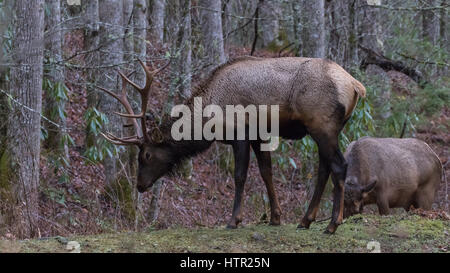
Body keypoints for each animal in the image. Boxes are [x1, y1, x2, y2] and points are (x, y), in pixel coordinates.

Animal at [100, 56, 368, 233]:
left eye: (146, 155)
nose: (140, 185)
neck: (209, 119)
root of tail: (356, 86)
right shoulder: (260, 135)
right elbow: (266, 172)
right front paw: (276, 217)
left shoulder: (241, 131)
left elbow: (240, 175)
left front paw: (234, 220)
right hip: (327, 129)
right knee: (324, 168)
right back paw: (306, 220)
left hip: (322, 125)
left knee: (339, 166)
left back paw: (332, 224)